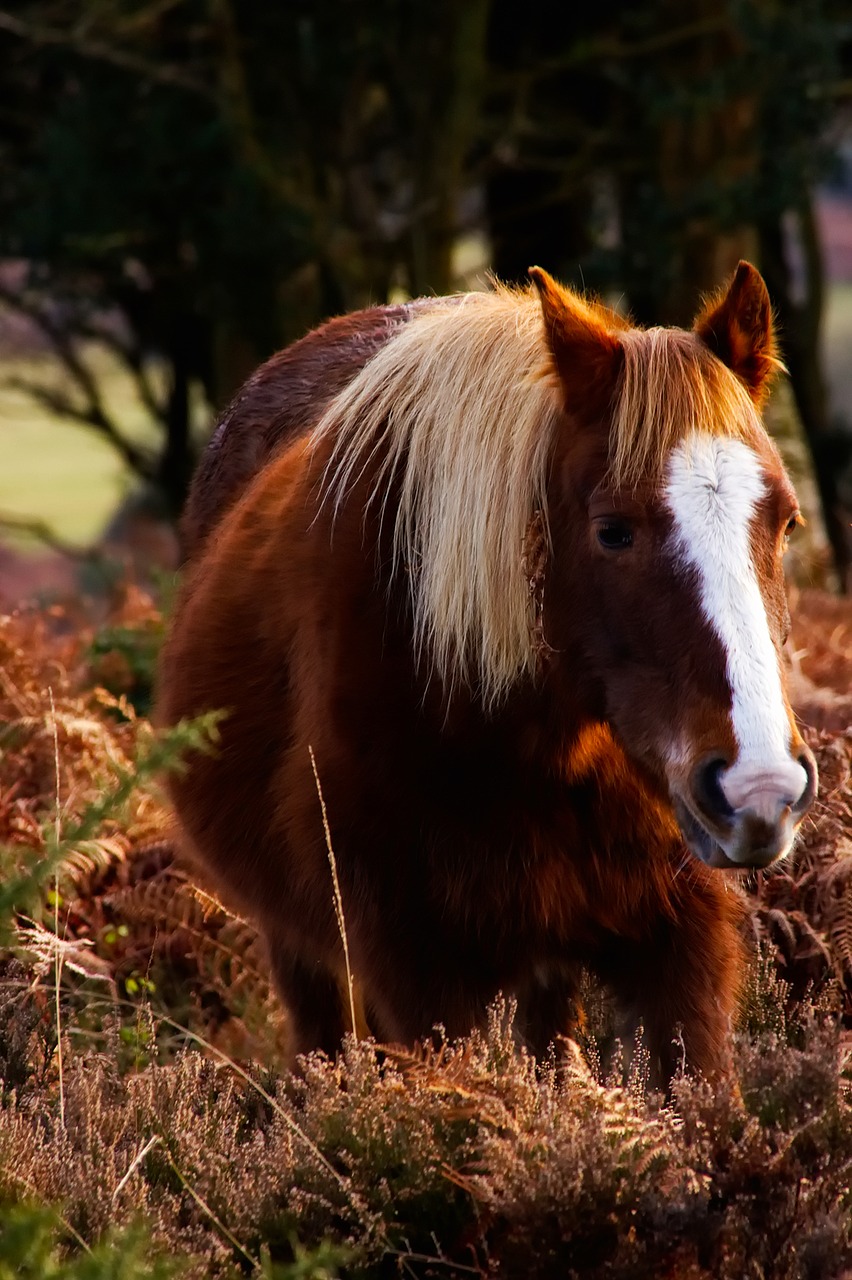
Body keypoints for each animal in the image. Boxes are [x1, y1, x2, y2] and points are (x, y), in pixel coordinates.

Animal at [159, 259, 818, 1080]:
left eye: (786, 521)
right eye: (612, 531)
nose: (759, 788)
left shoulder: (678, 950)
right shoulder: (423, 978)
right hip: (309, 959)